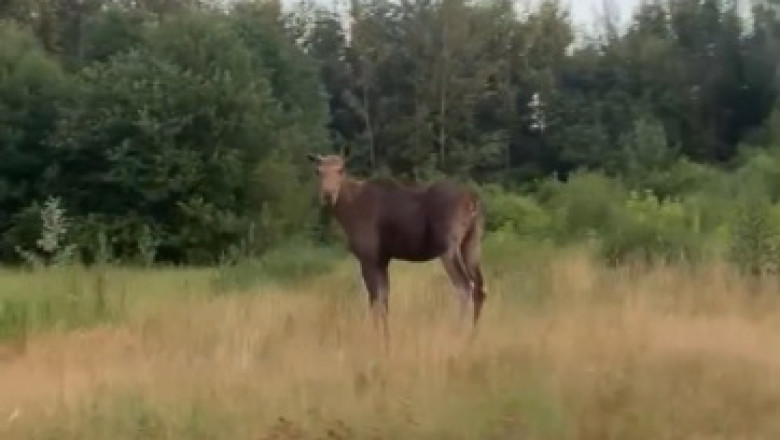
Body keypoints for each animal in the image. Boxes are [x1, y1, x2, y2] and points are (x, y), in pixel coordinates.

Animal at [307, 153, 487, 341]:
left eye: (341, 169)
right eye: (318, 171)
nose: (328, 195)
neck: (346, 211)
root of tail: (473, 201)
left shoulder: (369, 257)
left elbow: (374, 300)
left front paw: (375, 336)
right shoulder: (383, 260)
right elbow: (384, 300)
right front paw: (386, 337)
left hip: (449, 247)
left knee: (465, 287)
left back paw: (459, 333)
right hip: (471, 243)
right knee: (479, 288)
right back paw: (473, 335)